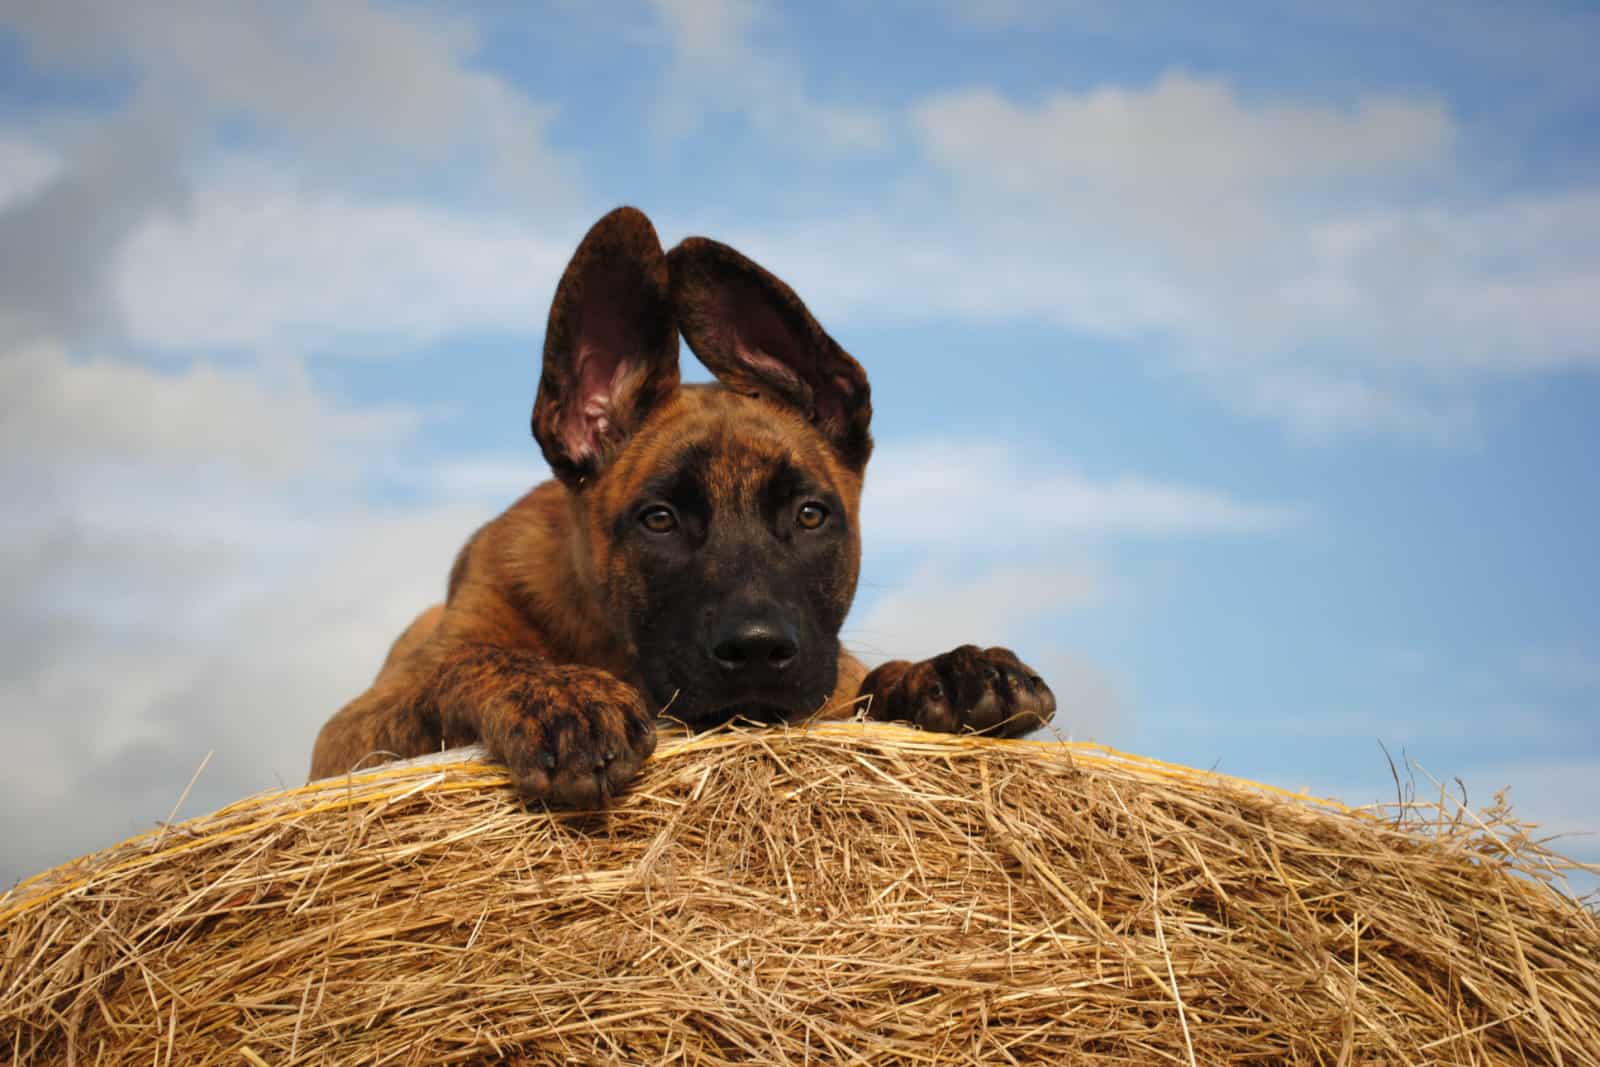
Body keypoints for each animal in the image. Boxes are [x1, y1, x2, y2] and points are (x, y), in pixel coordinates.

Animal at [313, 204, 1062, 806]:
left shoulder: (835, 683)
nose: (758, 650)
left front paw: (948, 670)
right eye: (660, 520)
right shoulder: (348, 735)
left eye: (810, 514)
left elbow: (869, 682)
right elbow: (468, 664)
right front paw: (561, 695)